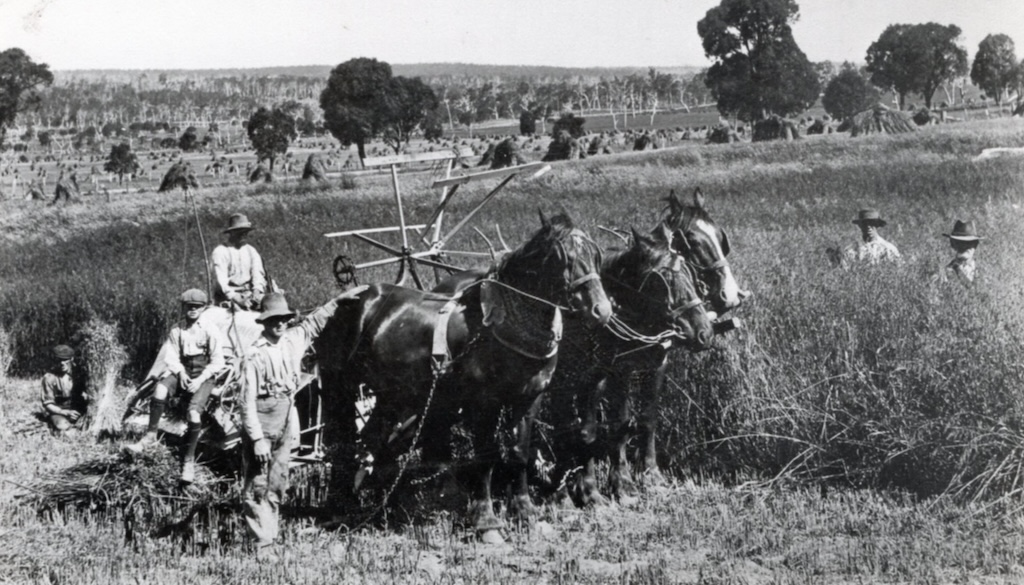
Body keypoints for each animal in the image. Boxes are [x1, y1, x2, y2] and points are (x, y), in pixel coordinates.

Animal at [315, 211, 610, 540]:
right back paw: (340, 509)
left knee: (375, 444)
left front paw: (526, 513)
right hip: (342, 388)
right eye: (563, 258)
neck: (499, 327)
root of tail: (354, 297)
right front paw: (487, 522)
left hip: (392, 395)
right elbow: (485, 456)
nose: (602, 310)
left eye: (596, 255)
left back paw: (389, 508)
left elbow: (520, 452)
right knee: (343, 445)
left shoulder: (530, 397)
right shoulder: (483, 402)